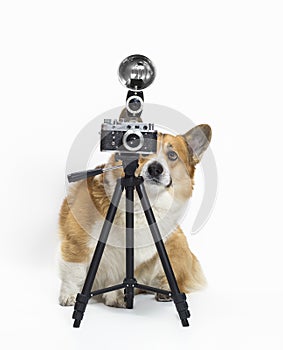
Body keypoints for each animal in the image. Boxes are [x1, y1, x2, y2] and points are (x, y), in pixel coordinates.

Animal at [58, 123, 212, 306]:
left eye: (172, 155)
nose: (155, 169)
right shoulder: (77, 242)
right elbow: (75, 272)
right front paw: (71, 295)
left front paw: (116, 296)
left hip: (174, 246)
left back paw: (164, 292)